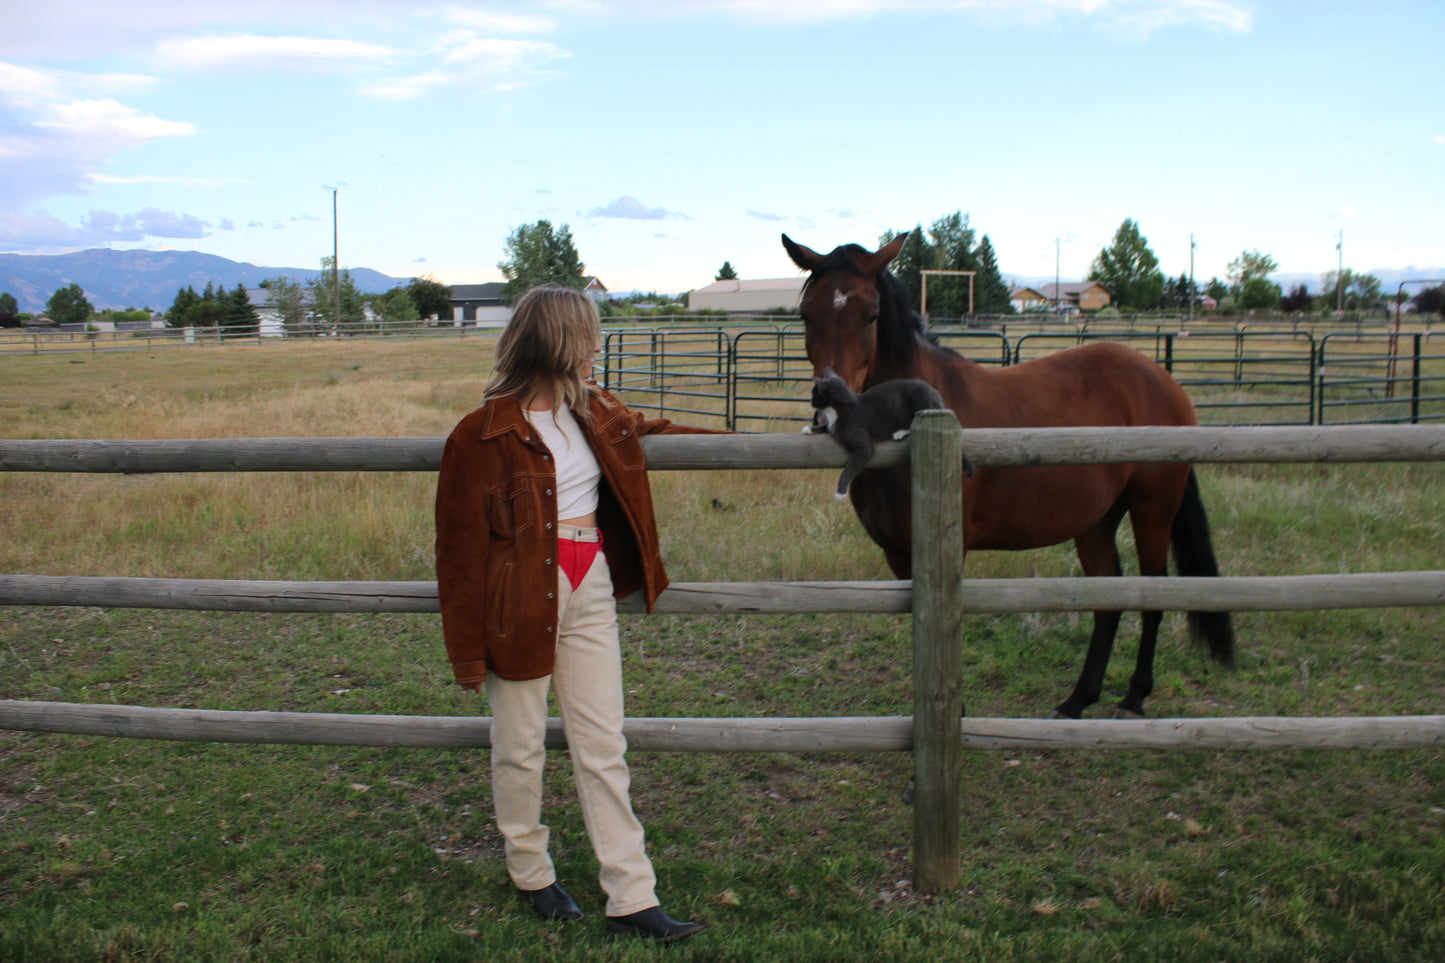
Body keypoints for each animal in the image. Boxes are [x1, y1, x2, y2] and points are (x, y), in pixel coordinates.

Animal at [803, 367, 971, 497]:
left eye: (814, 394)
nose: (810, 401)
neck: (838, 410)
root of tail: (936, 394)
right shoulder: (833, 425)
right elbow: (827, 427)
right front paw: (810, 429)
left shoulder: (864, 448)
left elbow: (850, 468)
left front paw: (840, 492)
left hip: (920, 401)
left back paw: (899, 432)